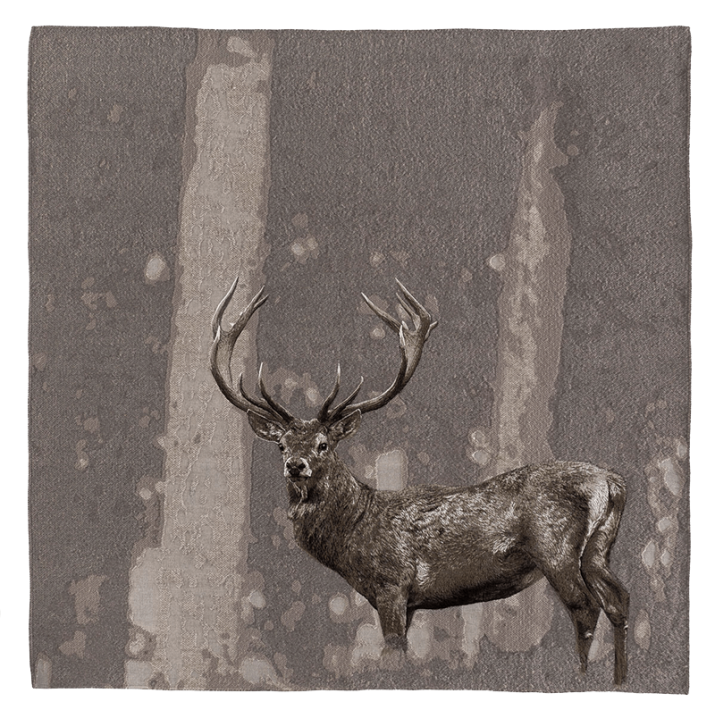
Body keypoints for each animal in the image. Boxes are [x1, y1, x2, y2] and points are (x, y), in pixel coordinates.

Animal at [210, 276, 630, 685]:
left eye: (323, 444)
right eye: (281, 445)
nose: (296, 466)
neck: (354, 533)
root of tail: (611, 482)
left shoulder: (393, 583)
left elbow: (394, 653)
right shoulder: (409, 600)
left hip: (555, 546)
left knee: (585, 608)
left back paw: (580, 677)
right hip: (599, 548)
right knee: (620, 599)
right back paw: (619, 678)